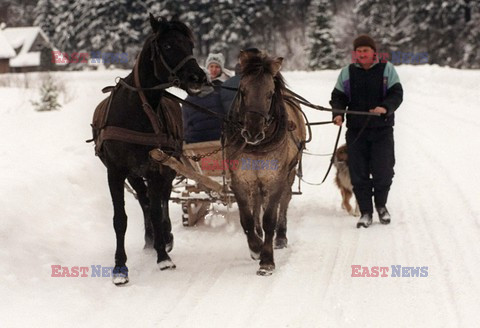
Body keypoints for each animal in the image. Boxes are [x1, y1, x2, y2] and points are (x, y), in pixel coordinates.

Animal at [92, 14, 206, 284]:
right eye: (167, 45)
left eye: (190, 45)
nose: (198, 78)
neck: (138, 110)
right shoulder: (116, 171)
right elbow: (120, 219)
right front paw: (120, 267)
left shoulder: (157, 167)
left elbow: (156, 209)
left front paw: (163, 256)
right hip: (135, 173)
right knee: (144, 199)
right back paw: (151, 238)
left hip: (168, 166)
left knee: (161, 198)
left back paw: (165, 235)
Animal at [226, 50, 308, 276]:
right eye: (242, 90)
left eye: (270, 94)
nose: (253, 133)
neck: (257, 147)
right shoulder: (239, 180)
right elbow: (246, 218)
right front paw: (255, 247)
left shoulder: (275, 179)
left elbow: (270, 218)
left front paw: (267, 260)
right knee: (256, 202)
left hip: (289, 174)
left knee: (285, 200)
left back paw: (280, 236)